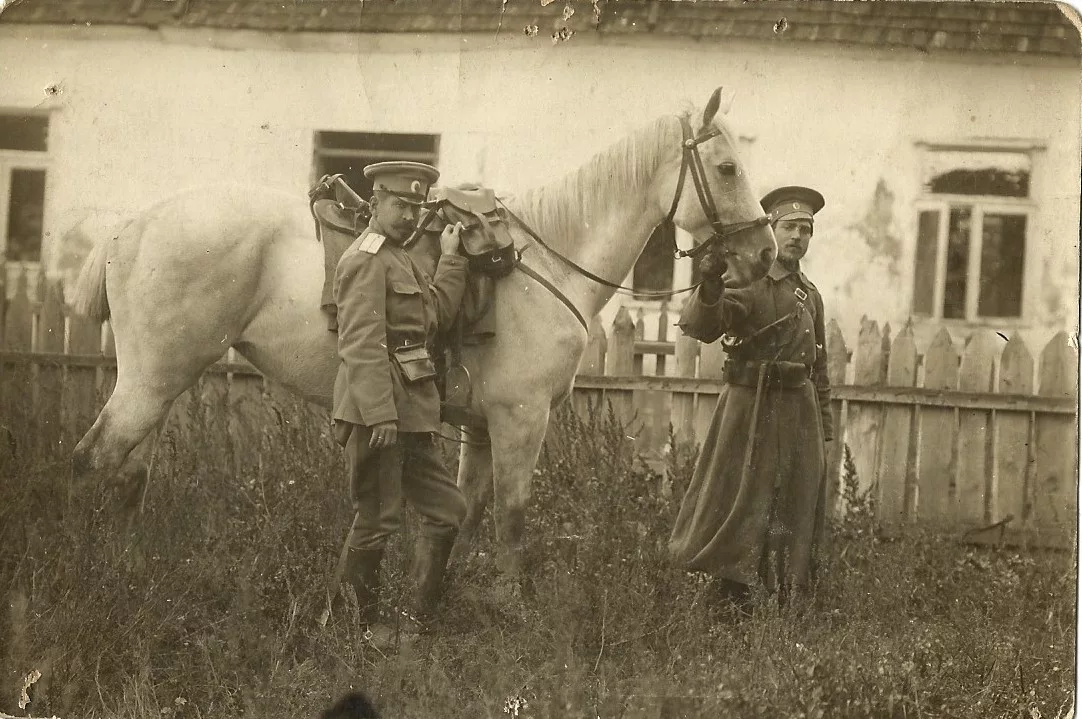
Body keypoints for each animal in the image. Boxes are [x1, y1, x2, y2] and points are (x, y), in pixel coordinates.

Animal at [69, 85, 779, 579]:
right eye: (727, 169)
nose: (766, 254)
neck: (547, 264)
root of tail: (133, 224)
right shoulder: (521, 420)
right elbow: (513, 520)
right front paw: (514, 612)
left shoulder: (482, 428)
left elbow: (465, 516)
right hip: (152, 380)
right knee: (97, 461)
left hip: (159, 382)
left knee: (128, 473)